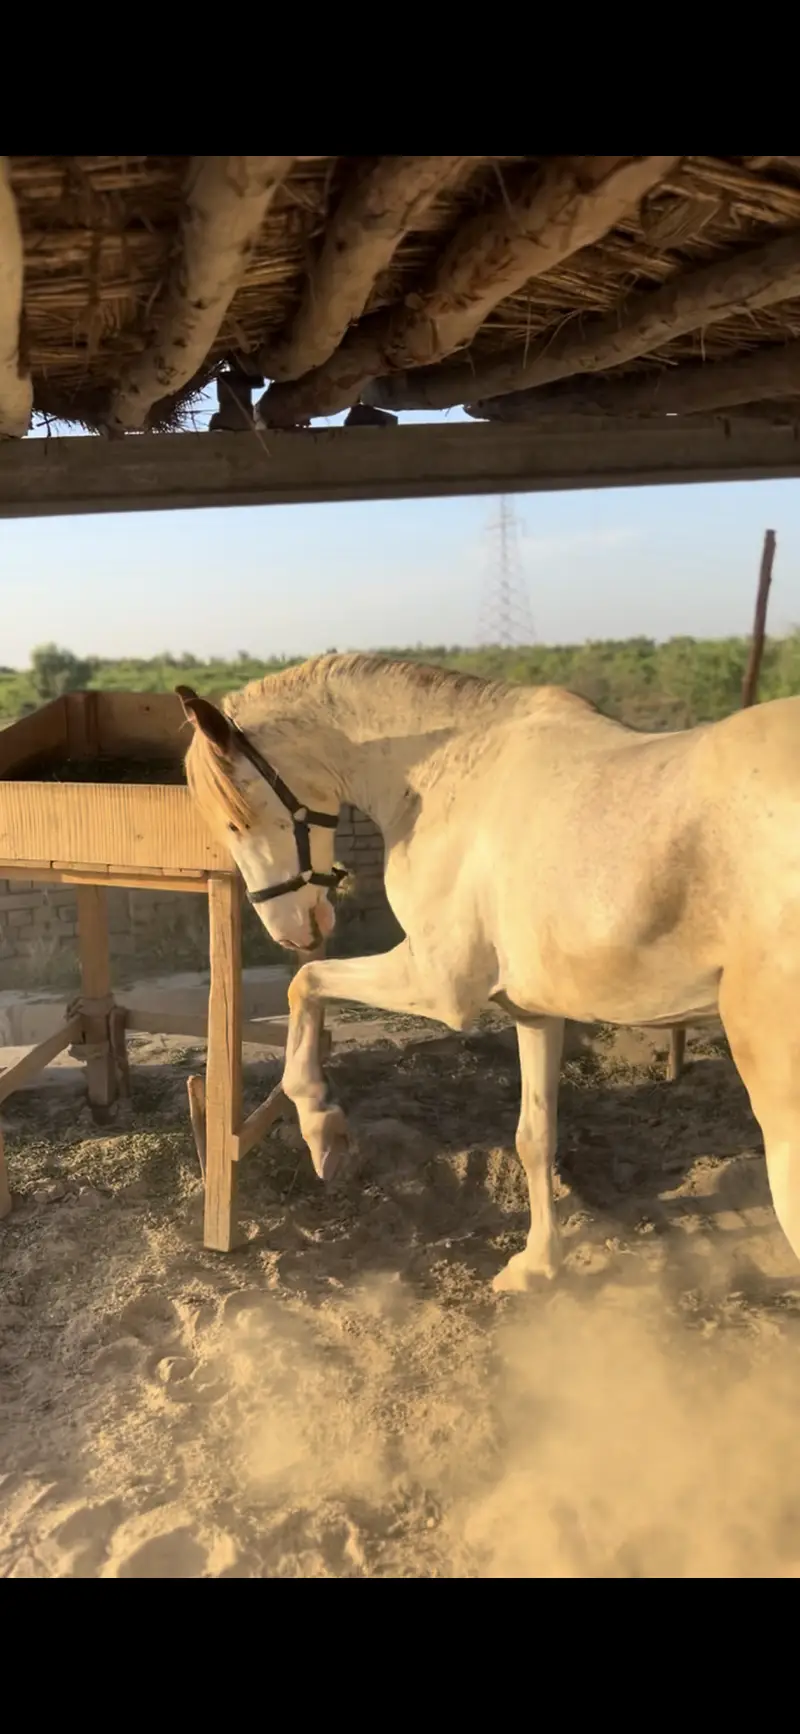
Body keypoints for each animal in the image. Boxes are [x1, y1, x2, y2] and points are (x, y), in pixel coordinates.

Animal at [176, 654, 800, 1292]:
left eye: (236, 823)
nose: (290, 931)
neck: (448, 781)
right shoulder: (535, 1010)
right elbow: (535, 1136)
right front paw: (537, 1267)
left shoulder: (437, 984)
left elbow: (306, 984)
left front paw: (323, 1129)